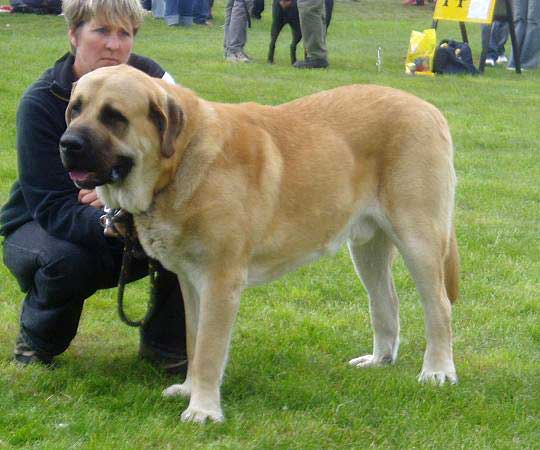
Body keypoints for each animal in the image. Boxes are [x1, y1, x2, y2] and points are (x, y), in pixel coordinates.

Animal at [60, 65, 460, 424]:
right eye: (76, 109)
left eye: (114, 116)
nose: (67, 144)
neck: (183, 159)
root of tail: (430, 109)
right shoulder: (191, 281)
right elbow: (193, 339)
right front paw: (189, 390)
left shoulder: (220, 281)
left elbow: (209, 349)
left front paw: (203, 410)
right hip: (368, 247)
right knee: (385, 302)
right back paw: (379, 361)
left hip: (419, 237)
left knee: (438, 306)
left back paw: (438, 371)